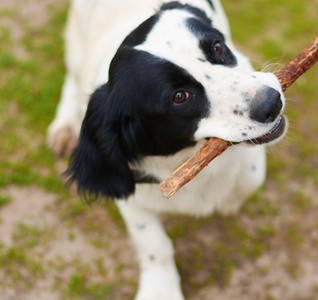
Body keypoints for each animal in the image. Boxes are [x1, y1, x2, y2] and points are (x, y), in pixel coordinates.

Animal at [47, 1, 288, 298]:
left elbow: (251, 178)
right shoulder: (127, 186)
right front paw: (160, 289)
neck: (186, 158)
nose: (272, 102)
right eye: (179, 97)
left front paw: (229, 203)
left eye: (218, 47)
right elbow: (153, 243)